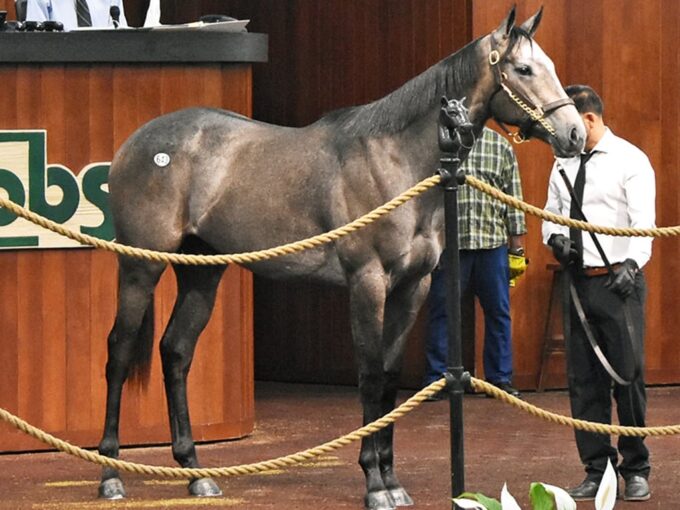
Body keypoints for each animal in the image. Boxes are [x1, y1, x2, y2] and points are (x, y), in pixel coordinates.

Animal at [95, 6, 584, 510]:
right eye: (523, 69)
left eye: (549, 65)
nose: (575, 134)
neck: (395, 161)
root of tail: (137, 142)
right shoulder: (367, 281)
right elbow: (368, 375)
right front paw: (374, 482)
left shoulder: (414, 287)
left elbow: (388, 377)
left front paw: (391, 478)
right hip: (140, 267)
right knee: (119, 350)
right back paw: (111, 473)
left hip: (202, 273)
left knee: (176, 352)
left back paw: (194, 471)